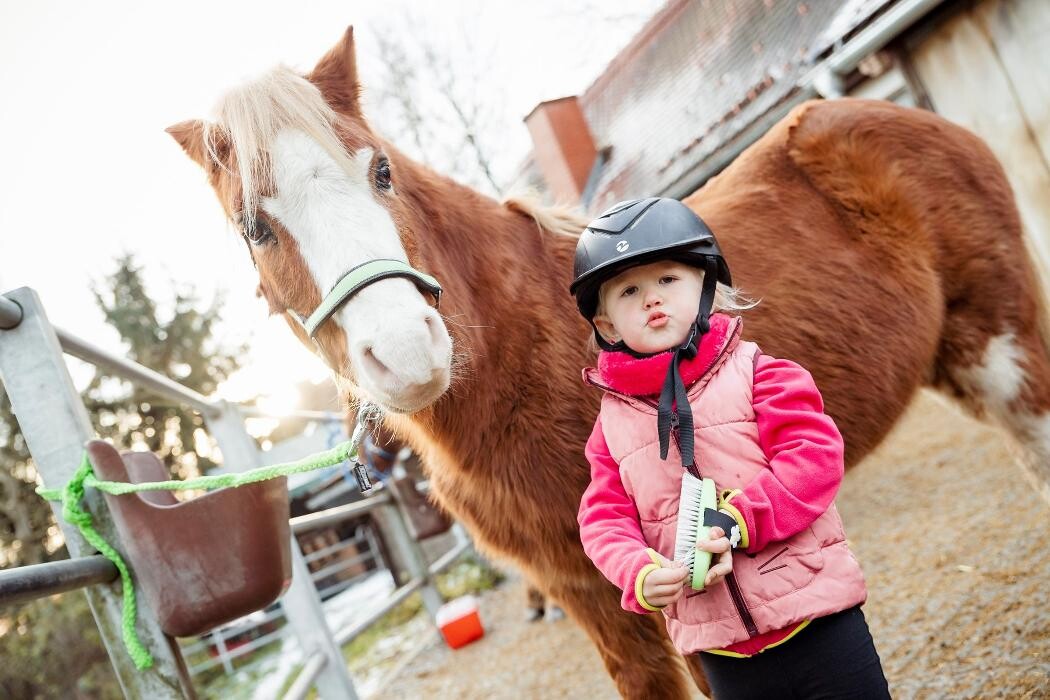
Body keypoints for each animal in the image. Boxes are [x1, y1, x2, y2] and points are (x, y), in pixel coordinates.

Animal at [165, 27, 1050, 700]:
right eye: (254, 227)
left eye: (379, 169)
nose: (409, 351)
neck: (524, 350)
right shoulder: (590, 590)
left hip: (1005, 353)